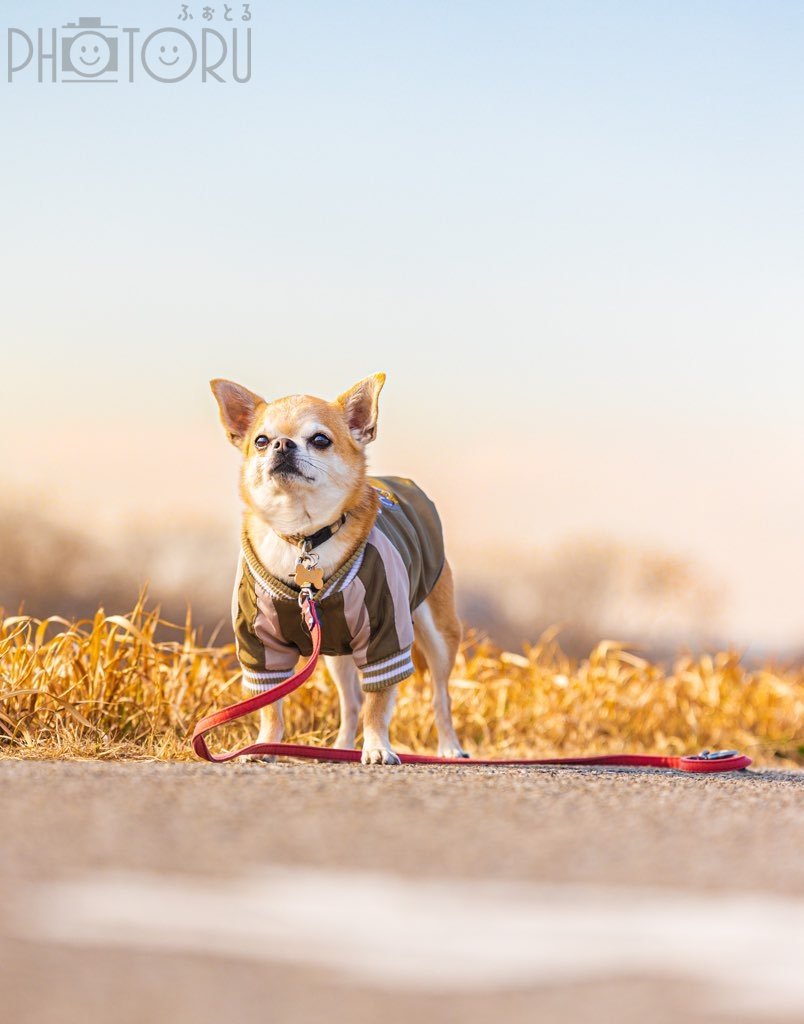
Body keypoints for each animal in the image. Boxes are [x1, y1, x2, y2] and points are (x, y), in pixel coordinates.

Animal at [209, 372, 467, 765]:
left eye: (320, 440)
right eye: (261, 441)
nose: (281, 444)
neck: (304, 538)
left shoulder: (385, 637)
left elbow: (378, 704)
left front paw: (377, 747)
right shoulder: (262, 645)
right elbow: (270, 706)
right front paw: (264, 745)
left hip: (437, 632)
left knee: (440, 695)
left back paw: (450, 747)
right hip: (336, 653)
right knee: (351, 702)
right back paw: (341, 749)